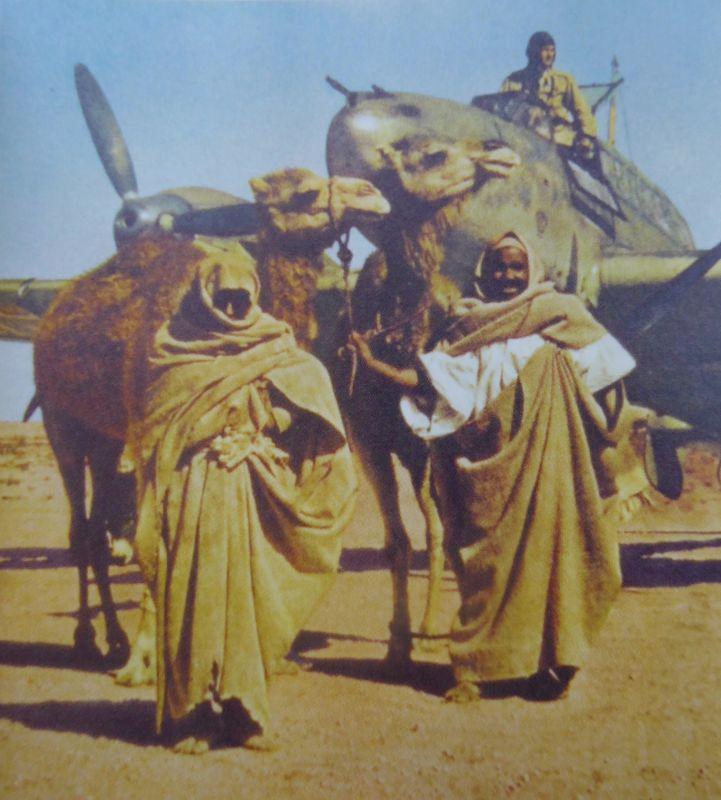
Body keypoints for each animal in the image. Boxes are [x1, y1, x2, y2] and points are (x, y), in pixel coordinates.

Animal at [35, 172, 388, 672]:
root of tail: (52, 318)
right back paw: (89, 639)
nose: (372, 195)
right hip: (60, 420)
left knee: (97, 521)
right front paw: (146, 658)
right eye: (304, 192)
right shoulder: (155, 427)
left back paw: (114, 639)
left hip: (104, 437)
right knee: (82, 530)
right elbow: (151, 535)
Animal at [338, 134, 516, 672]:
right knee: (432, 529)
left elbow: (454, 533)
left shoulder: (440, 438)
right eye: (434, 153)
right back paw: (428, 625)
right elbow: (397, 542)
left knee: (443, 529)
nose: (500, 149)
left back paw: (441, 624)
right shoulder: (369, 442)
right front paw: (397, 644)